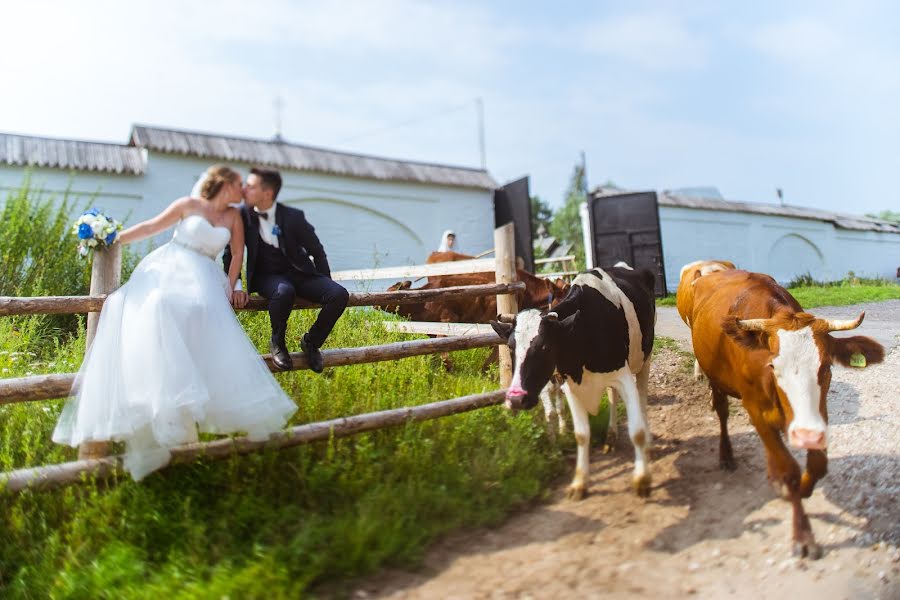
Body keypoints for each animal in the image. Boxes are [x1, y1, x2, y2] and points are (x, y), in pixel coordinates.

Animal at [492, 266, 652, 496]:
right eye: (511, 347)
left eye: (545, 346)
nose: (515, 399)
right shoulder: (570, 386)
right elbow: (581, 434)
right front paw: (579, 482)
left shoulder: (623, 376)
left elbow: (636, 431)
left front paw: (642, 479)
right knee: (613, 397)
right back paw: (611, 437)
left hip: (644, 360)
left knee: (643, 398)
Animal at [684, 270, 884, 560]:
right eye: (773, 367)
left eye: (826, 367)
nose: (806, 435)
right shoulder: (754, 406)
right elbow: (788, 468)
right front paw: (803, 535)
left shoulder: (817, 414)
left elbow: (816, 465)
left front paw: (802, 488)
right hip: (714, 378)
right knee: (722, 412)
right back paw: (726, 455)